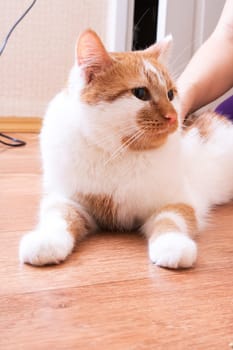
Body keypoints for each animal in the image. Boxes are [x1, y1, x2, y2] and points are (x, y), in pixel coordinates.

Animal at [19, 29, 233, 268]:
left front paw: (172, 245)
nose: (173, 117)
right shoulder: (66, 198)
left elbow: (170, 220)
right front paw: (46, 241)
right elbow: (59, 217)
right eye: (140, 93)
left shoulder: (179, 200)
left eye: (170, 94)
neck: (116, 152)